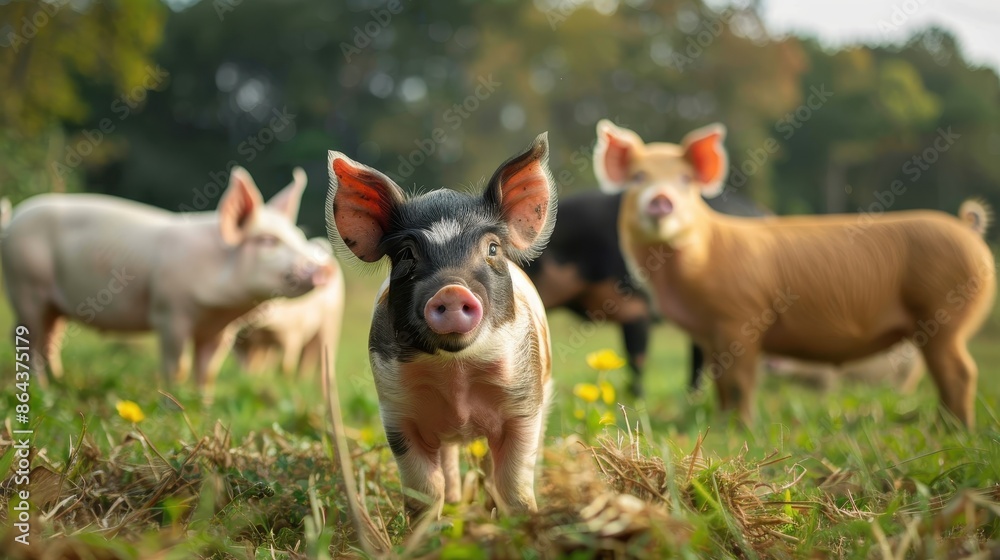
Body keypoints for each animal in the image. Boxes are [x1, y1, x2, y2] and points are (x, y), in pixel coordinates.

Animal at [0, 167, 333, 396]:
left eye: (299, 236)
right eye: (267, 241)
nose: (326, 267)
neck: (220, 308)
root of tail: (12, 221)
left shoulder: (220, 331)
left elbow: (208, 370)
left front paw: (204, 403)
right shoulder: (170, 313)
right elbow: (179, 366)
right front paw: (173, 400)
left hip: (52, 303)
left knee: (50, 339)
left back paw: (58, 382)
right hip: (25, 285)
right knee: (29, 340)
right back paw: (42, 389)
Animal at [232, 237, 345, 378]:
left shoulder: (293, 333)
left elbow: (286, 366)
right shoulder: (243, 343)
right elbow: (248, 367)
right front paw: (249, 379)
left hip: (331, 321)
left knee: (324, 357)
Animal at [326, 133, 556, 520]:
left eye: (492, 249)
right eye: (406, 254)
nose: (451, 289)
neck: (456, 376)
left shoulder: (524, 403)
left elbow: (513, 482)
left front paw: (523, 520)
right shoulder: (397, 413)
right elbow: (423, 489)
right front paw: (429, 528)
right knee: (448, 462)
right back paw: (456, 504)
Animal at [593, 120, 996, 427]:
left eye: (685, 181)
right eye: (637, 178)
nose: (661, 199)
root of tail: (968, 229)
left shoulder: (742, 317)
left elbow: (741, 380)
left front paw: (742, 427)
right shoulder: (709, 336)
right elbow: (721, 382)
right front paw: (721, 423)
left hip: (945, 315)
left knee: (962, 372)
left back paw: (953, 430)